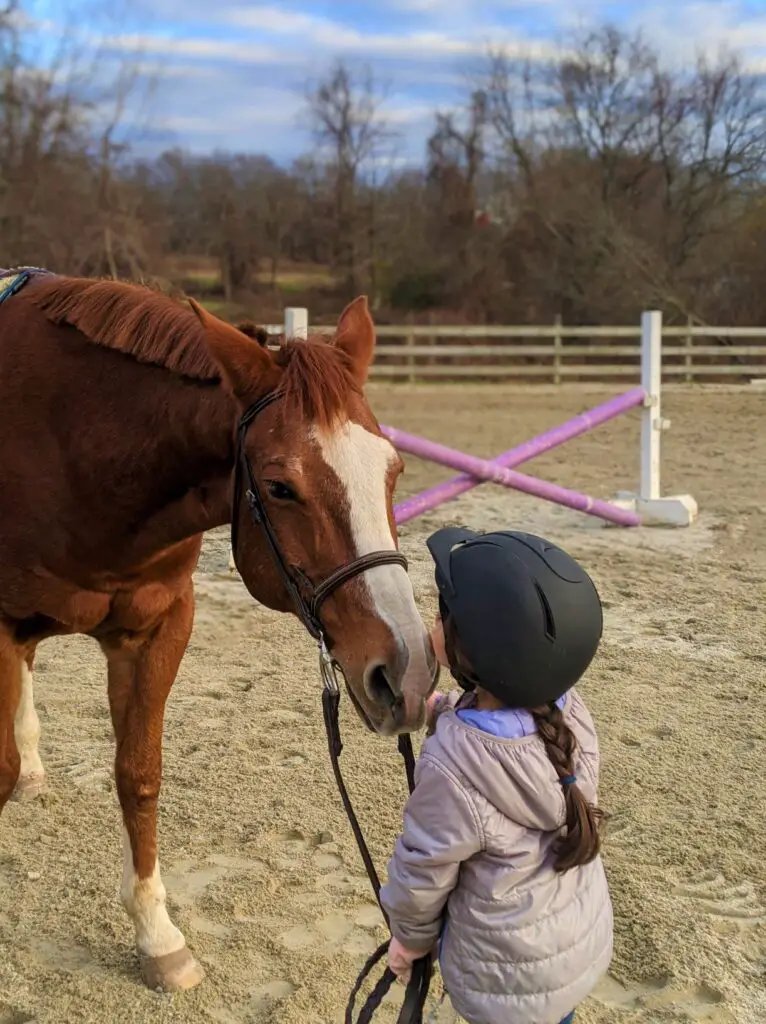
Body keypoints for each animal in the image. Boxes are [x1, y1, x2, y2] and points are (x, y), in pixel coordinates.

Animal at [0, 272, 436, 991]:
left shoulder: (158, 628)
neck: (74, 445)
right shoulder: (1, 627)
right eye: (281, 487)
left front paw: (158, 937)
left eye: (394, 470)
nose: (407, 673)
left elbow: (139, 772)